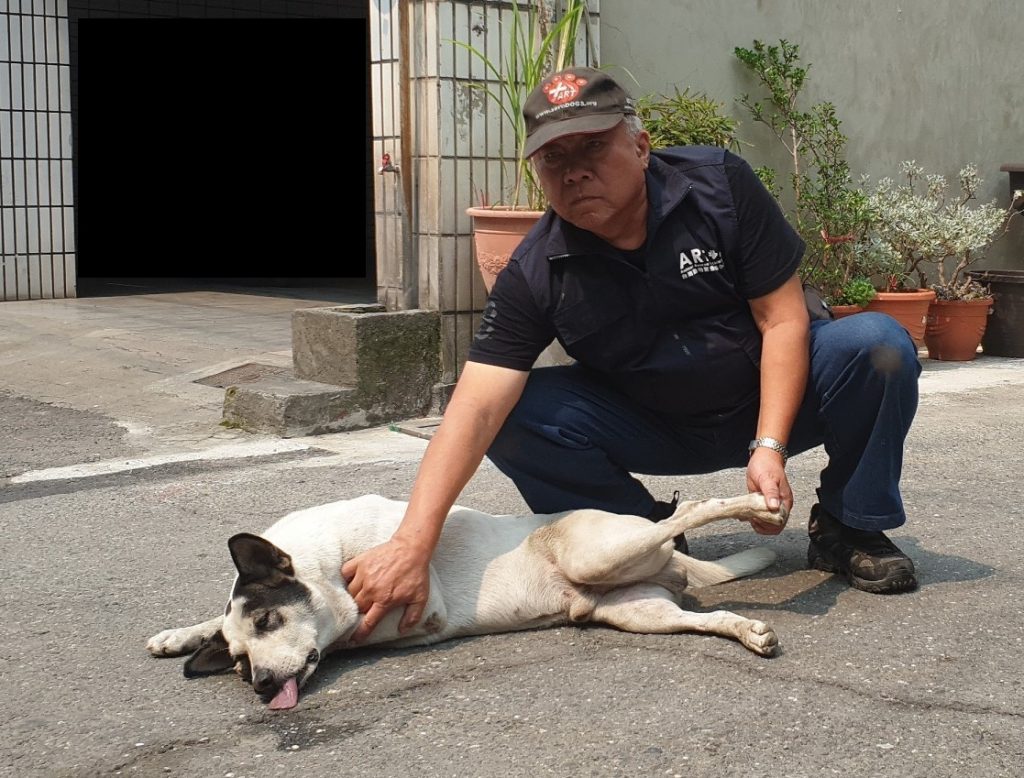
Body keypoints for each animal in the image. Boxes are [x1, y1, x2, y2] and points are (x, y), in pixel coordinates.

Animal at [146, 495, 782, 708]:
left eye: (268, 619)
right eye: (238, 663)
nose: (257, 686)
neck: (327, 560)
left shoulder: (405, 604)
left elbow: (357, 620)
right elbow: (210, 621)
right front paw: (180, 636)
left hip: (597, 553)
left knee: (690, 508)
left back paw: (755, 502)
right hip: (634, 609)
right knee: (702, 616)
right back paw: (748, 630)